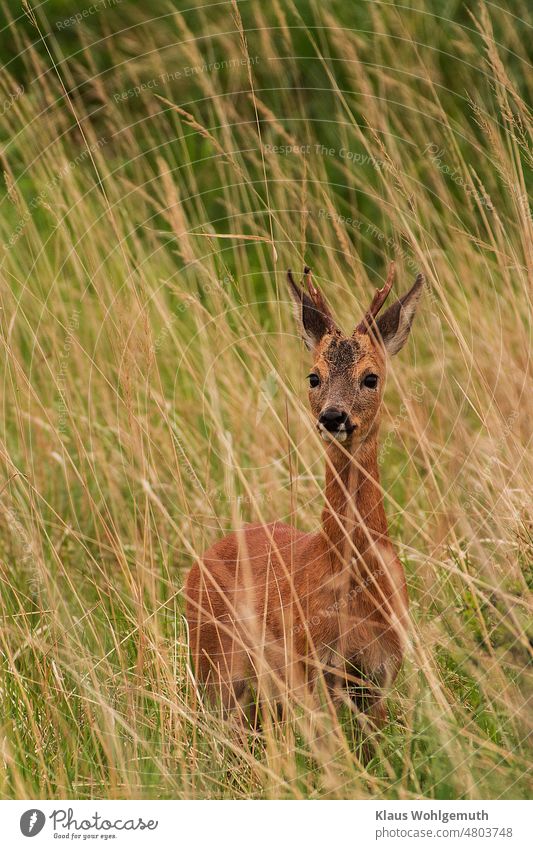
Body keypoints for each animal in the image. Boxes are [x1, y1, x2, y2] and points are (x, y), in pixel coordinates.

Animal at [185, 264, 422, 728]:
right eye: (314, 377)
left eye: (371, 377)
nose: (333, 416)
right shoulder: (311, 670)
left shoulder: (381, 674)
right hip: (215, 673)